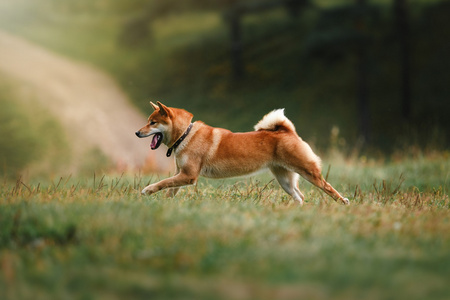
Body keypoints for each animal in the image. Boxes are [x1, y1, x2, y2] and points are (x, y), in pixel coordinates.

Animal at [135, 101, 350, 206]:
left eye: (152, 122)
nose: (137, 132)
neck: (185, 136)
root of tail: (287, 131)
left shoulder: (188, 176)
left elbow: (162, 183)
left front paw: (147, 191)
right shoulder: (182, 174)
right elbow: (169, 188)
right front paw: (164, 204)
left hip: (307, 171)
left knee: (327, 188)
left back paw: (344, 202)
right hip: (285, 180)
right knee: (300, 197)